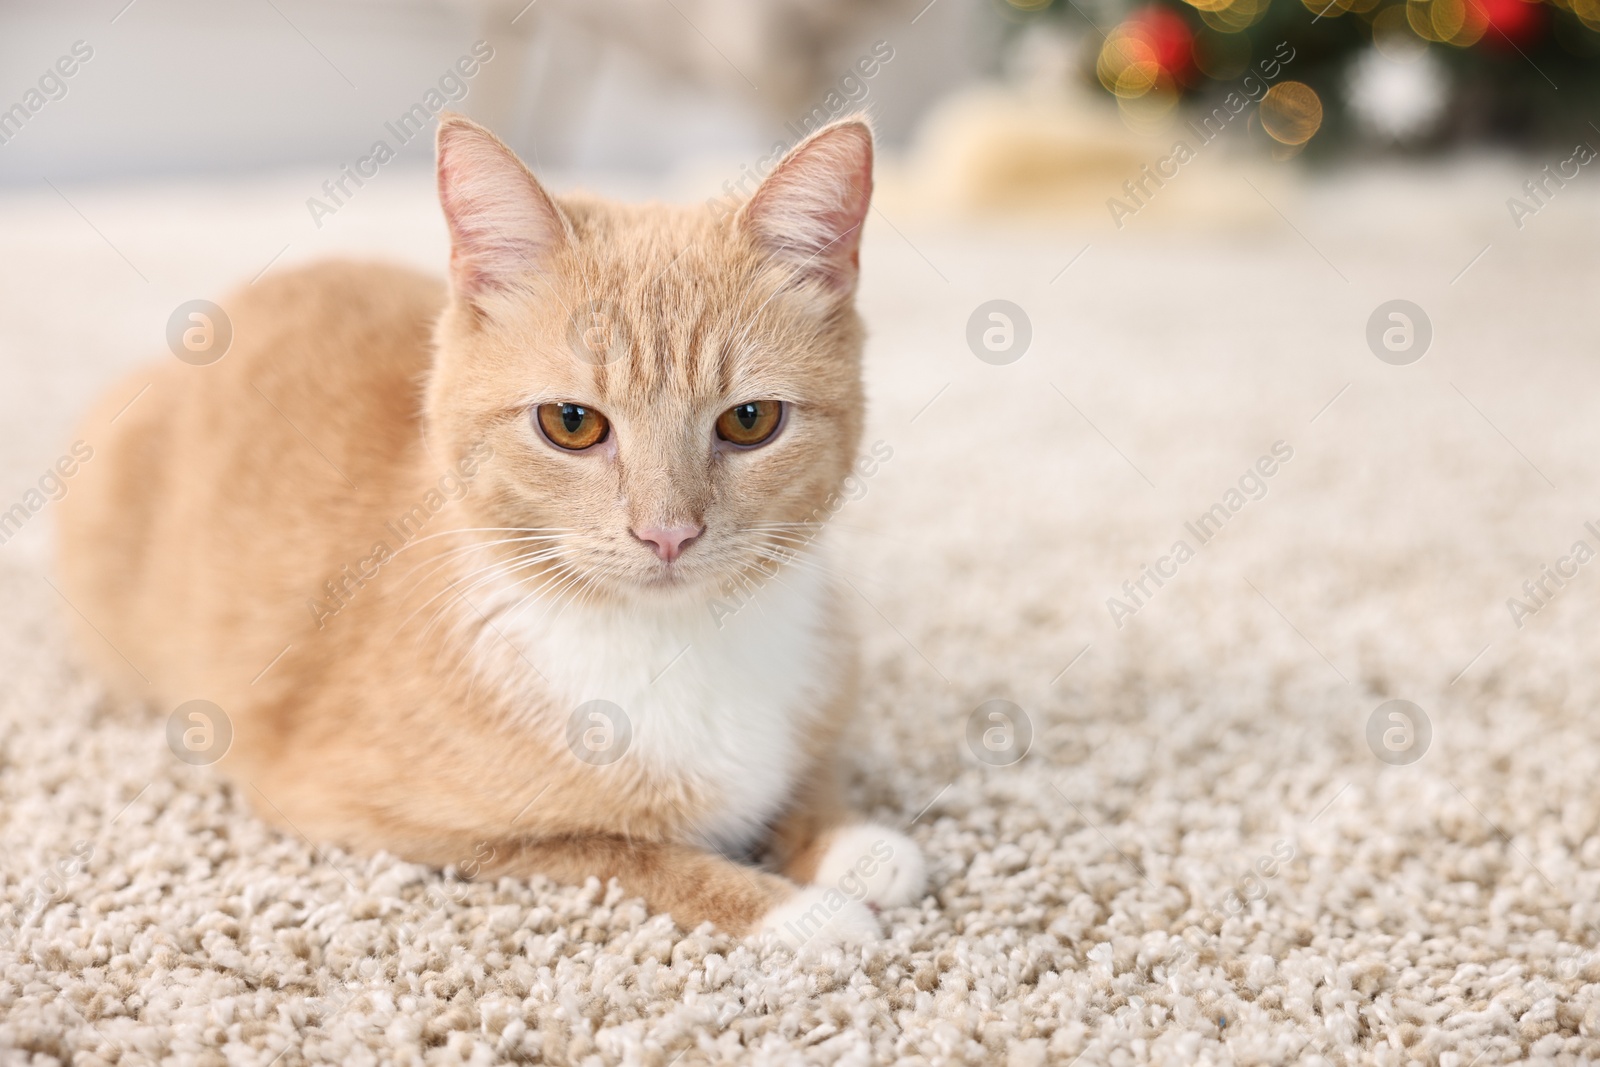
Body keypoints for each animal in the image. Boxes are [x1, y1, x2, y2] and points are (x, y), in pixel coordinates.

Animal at [56, 110, 928, 940]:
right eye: (572, 423)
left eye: (750, 420)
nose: (667, 534)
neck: (673, 641)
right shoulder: (369, 812)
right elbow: (626, 852)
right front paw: (796, 913)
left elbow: (808, 771)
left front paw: (849, 839)